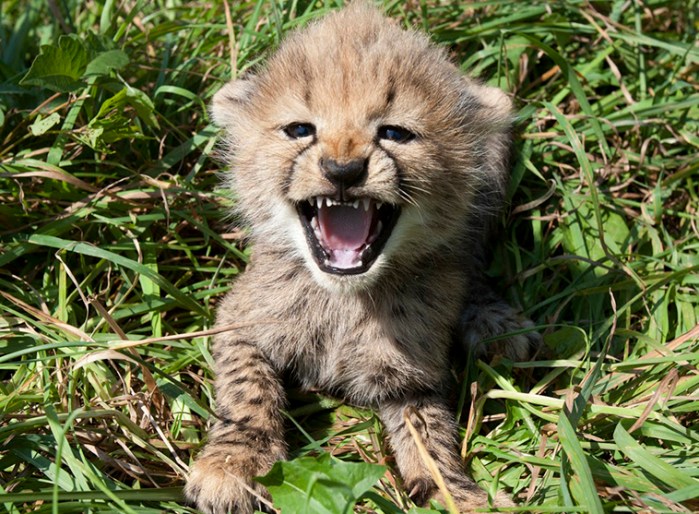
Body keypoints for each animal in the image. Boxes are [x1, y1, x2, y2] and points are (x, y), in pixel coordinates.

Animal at [185, 2, 538, 513]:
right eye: (299, 130)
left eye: (395, 133)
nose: (343, 170)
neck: (343, 298)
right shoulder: (237, 322)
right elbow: (247, 388)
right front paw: (235, 462)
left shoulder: (412, 376)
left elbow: (430, 436)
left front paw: (454, 491)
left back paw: (495, 322)